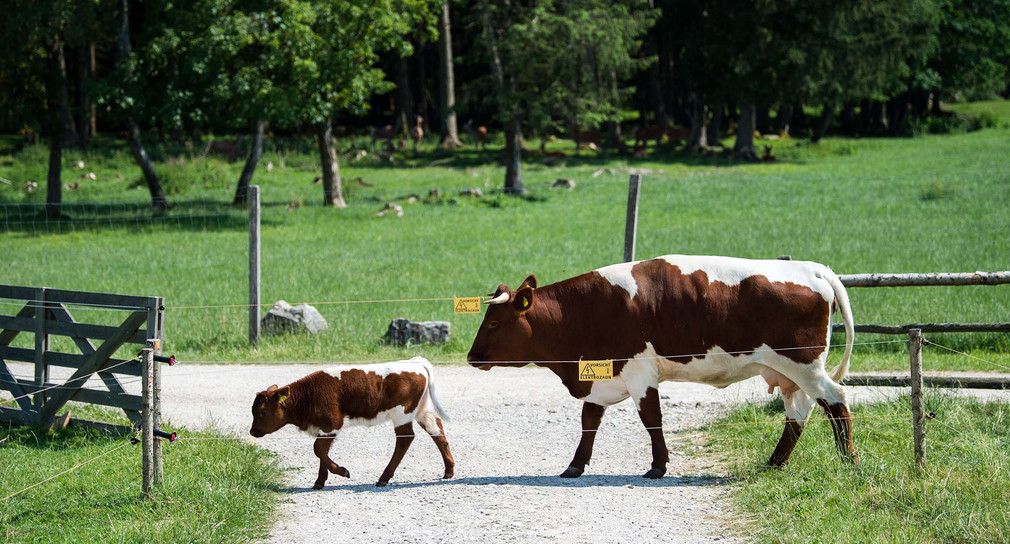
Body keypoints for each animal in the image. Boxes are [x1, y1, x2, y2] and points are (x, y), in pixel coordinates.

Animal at [250, 357, 456, 490]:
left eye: (262, 412)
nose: (252, 431)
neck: (310, 395)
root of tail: (418, 361)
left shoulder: (332, 423)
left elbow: (318, 449)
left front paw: (342, 472)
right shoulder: (324, 427)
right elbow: (322, 452)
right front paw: (319, 482)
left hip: (402, 414)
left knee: (405, 439)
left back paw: (384, 478)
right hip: (421, 410)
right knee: (436, 430)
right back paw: (449, 470)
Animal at [468, 253, 856, 478]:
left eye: (494, 323)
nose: (472, 357)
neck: (586, 310)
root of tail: (814, 269)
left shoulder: (639, 372)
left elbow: (651, 420)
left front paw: (657, 467)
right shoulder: (600, 376)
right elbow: (588, 421)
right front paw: (574, 466)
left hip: (803, 364)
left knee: (835, 400)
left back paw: (849, 460)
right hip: (791, 373)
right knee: (799, 413)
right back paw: (775, 462)